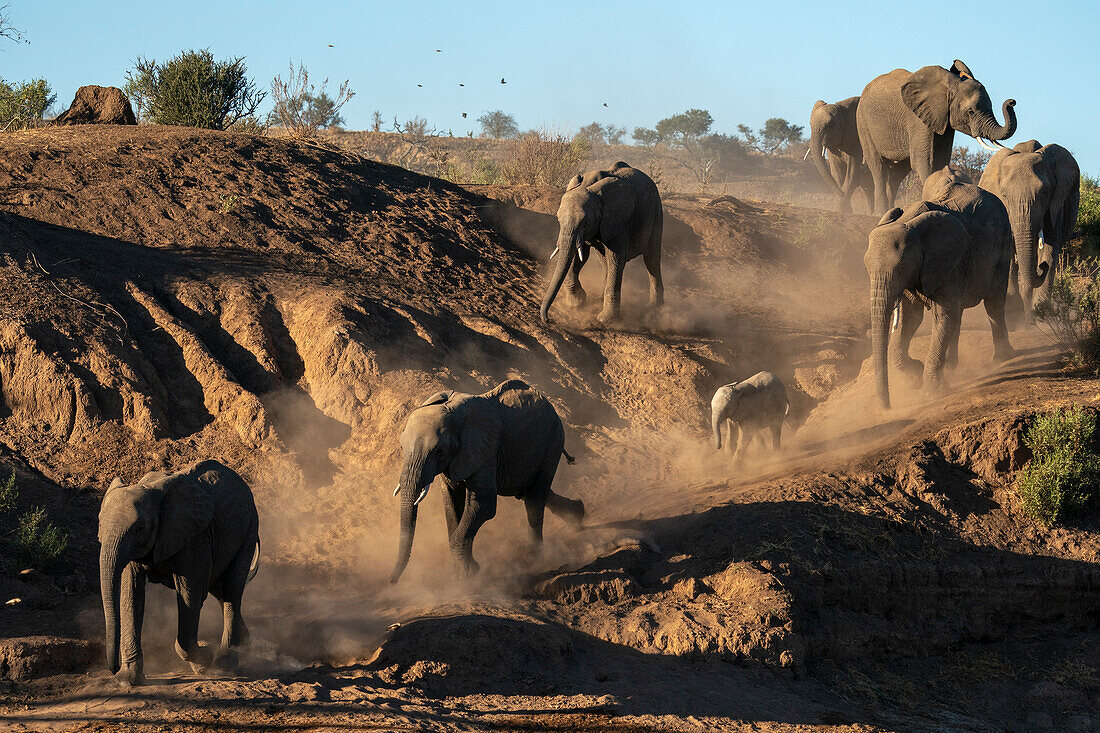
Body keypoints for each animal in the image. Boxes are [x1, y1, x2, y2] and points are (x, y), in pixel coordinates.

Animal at [97, 457, 259, 686]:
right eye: (100, 524)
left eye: (139, 529)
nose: (113, 668)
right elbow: (131, 595)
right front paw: (127, 681)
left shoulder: (194, 536)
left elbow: (190, 594)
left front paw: (204, 657)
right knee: (220, 590)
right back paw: (245, 643)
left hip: (248, 528)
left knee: (231, 590)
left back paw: (224, 664)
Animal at [391, 376, 589, 581]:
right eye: (402, 446)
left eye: (439, 451)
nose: (392, 581)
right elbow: (452, 503)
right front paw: (459, 573)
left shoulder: (486, 448)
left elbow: (484, 503)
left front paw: (469, 575)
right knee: (529, 491)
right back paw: (578, 515)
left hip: (553, 441)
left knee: (535, 499)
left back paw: (535, 557)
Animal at [541, 161, 660, 323]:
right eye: (558, 219)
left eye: (586, 222)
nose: (548, 319)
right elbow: (580, 254)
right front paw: (577, 301)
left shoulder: (619, 220)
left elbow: (616, 259)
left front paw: (605, 320)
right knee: (605, 261)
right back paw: (598, 300)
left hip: (656, 212)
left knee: (651, 261)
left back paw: (655, 312)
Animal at [853, 59, 1016, 211]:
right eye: (970, 112)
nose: (1012, 102)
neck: (949, 86)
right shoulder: (917, 119)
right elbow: (924, 159)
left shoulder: (945, 121)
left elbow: (941, 158)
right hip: (863, 122)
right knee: (878, 167)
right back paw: (880, 213)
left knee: (897, 173)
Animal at [976, 138, 1078, 321]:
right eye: (1004, 195)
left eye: (1045, 193)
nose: (1042, 267)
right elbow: (1008, 254)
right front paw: (1013, 312)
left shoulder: (1056, 206)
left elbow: (1050, 250)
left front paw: (1043, 313)